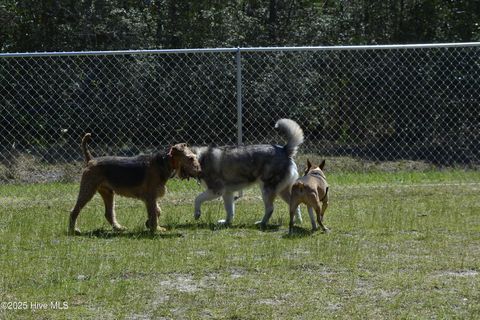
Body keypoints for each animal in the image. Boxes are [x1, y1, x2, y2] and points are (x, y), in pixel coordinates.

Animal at [69, 132, 201, 235]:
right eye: (190, 158)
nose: (199, 171)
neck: (163, 162)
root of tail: (91, 160)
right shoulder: (150, 196)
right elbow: (154, 213)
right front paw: (156, 229)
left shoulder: (152, 197)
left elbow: (157, 211)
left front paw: (149, 224)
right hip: (88, 190)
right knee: (74, 211)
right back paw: (73, 230)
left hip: (108, 192)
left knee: (108, 213)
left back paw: (119, 228)